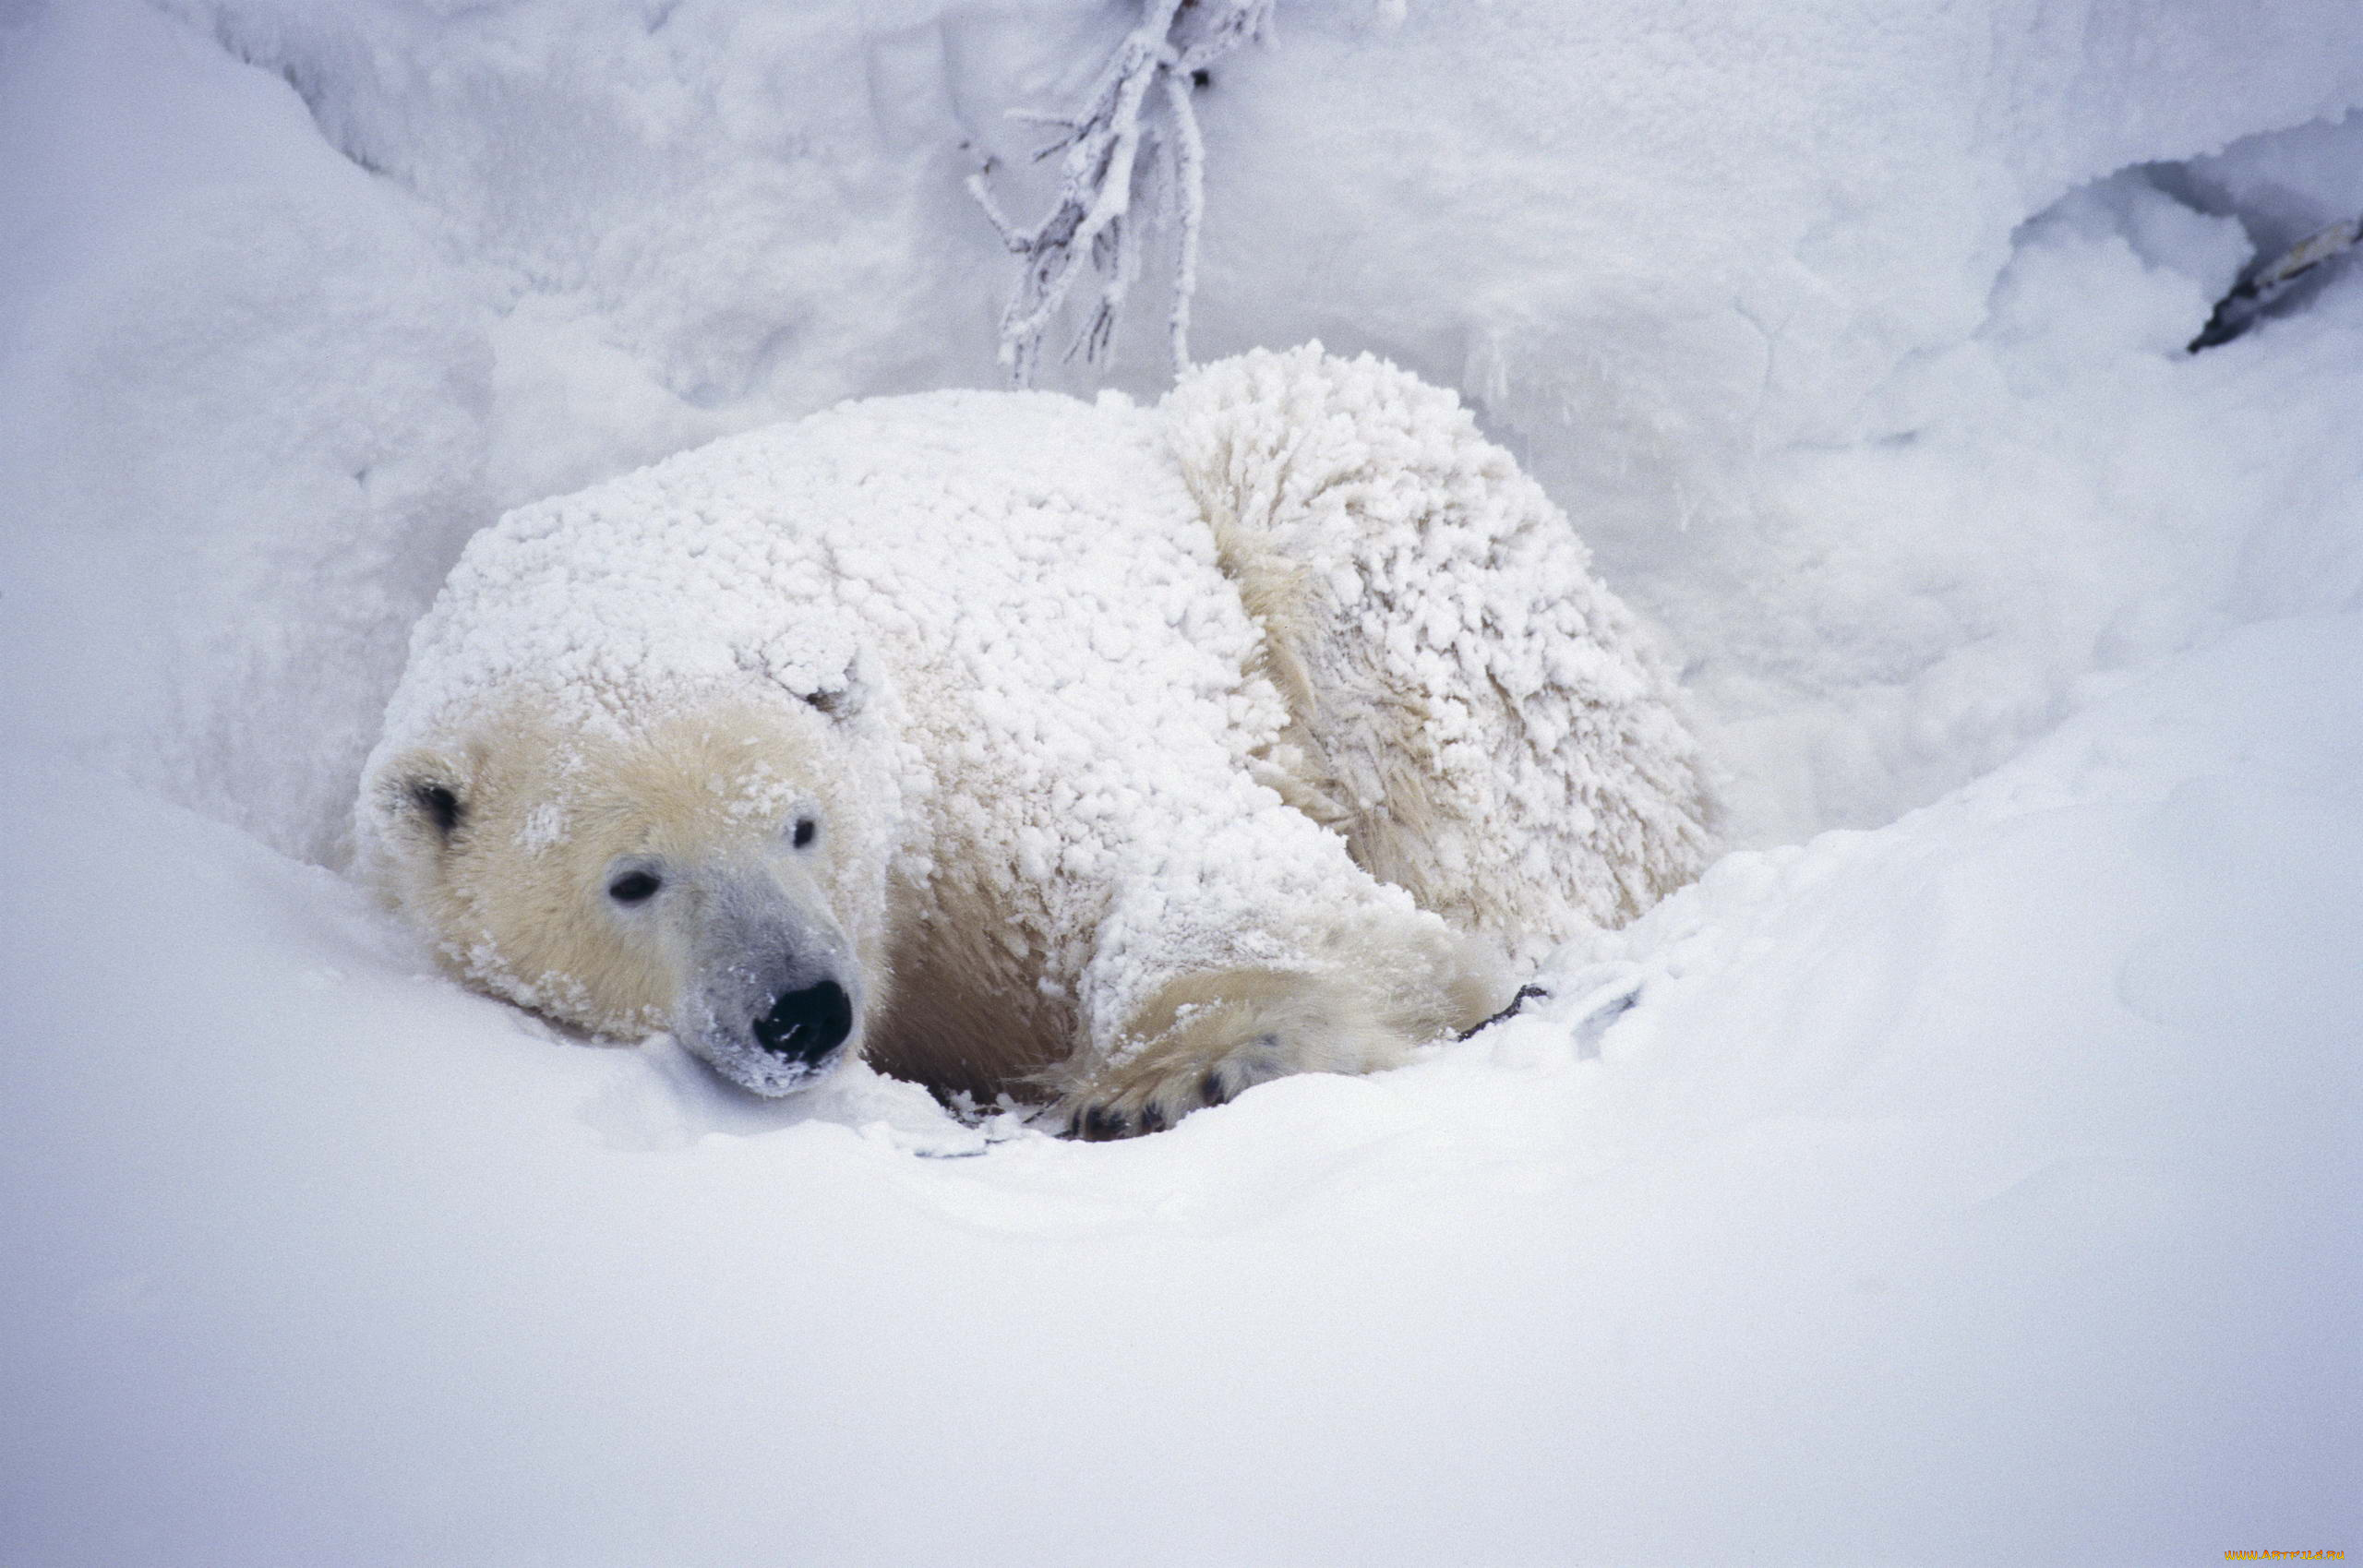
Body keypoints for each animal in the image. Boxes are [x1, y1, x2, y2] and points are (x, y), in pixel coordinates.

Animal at [354, 342, 1720, 1133]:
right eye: (632, 879)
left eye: (801, 824)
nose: (803, 1010)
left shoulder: (992, 746)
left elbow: (1218, 865)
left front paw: (1189, 1069)